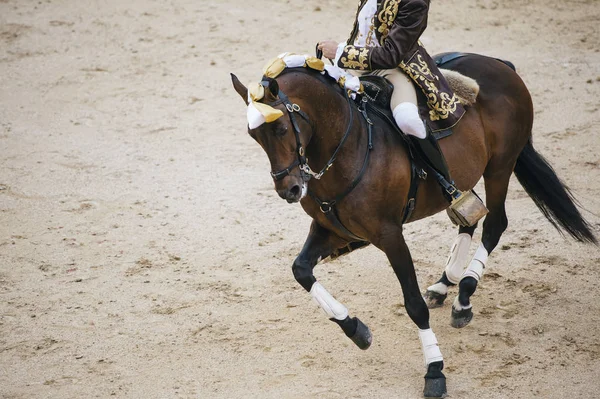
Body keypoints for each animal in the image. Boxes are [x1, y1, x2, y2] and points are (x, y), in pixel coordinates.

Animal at [229, 53, 596, 399]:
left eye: (279, 128)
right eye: (254, 135)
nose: (289, 190)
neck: (347, 145)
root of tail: (499, 64)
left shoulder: (390, 235)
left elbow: (414, 304)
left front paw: (434, 370)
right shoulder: (331, 229)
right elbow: (301, 270)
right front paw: (356, 329)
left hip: (500, 167)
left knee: (495, 224)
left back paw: (464, 294)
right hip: (467, 176)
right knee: (468, 218)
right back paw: (446, 284)